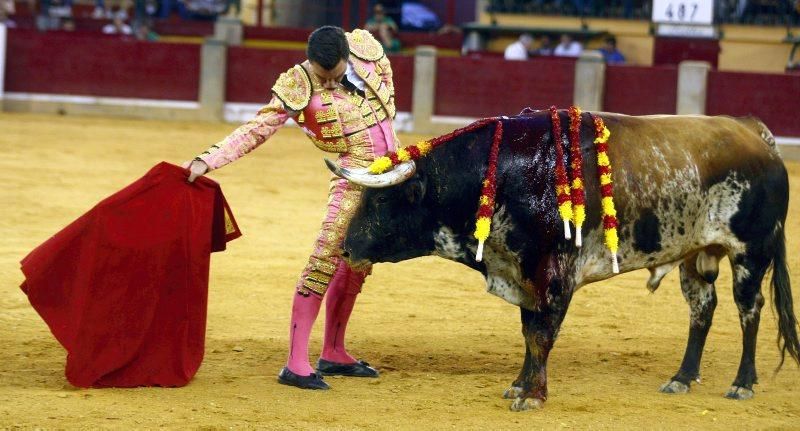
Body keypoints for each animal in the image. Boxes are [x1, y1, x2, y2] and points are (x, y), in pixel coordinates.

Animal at [326, 110, 800, 412]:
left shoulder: (554, 274)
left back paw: (742, 384)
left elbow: (541, 335)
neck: (504, 174)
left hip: (750, 251)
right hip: (695, 254)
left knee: (749, 309)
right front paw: (519, 385)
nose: (345, 248)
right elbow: (528, 332)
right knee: (702, 308)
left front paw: (532, 396)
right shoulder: (522, 273)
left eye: (381, 199)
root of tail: (755, 133)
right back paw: (681, 378)